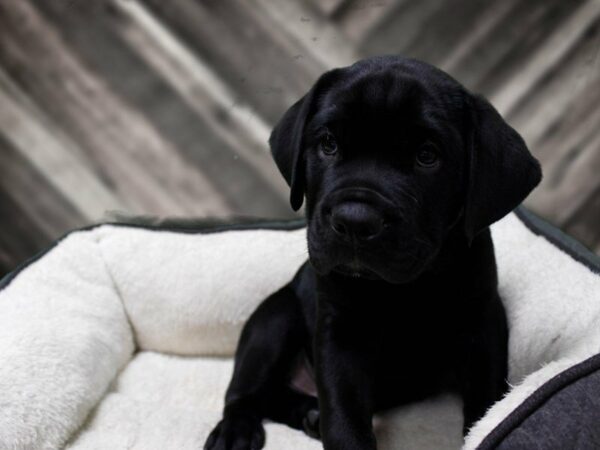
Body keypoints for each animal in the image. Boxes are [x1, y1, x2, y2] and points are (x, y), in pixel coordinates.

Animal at [204, 57, 540, 450]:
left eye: (427, 155)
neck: (403, 288)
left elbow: (486, 405)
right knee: (244, 394)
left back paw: (308, 414)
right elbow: (344, 415)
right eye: (328, 144)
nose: (354, 220)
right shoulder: (341, 331)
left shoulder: (481, 324)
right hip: (274, 321)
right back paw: (235, 431)